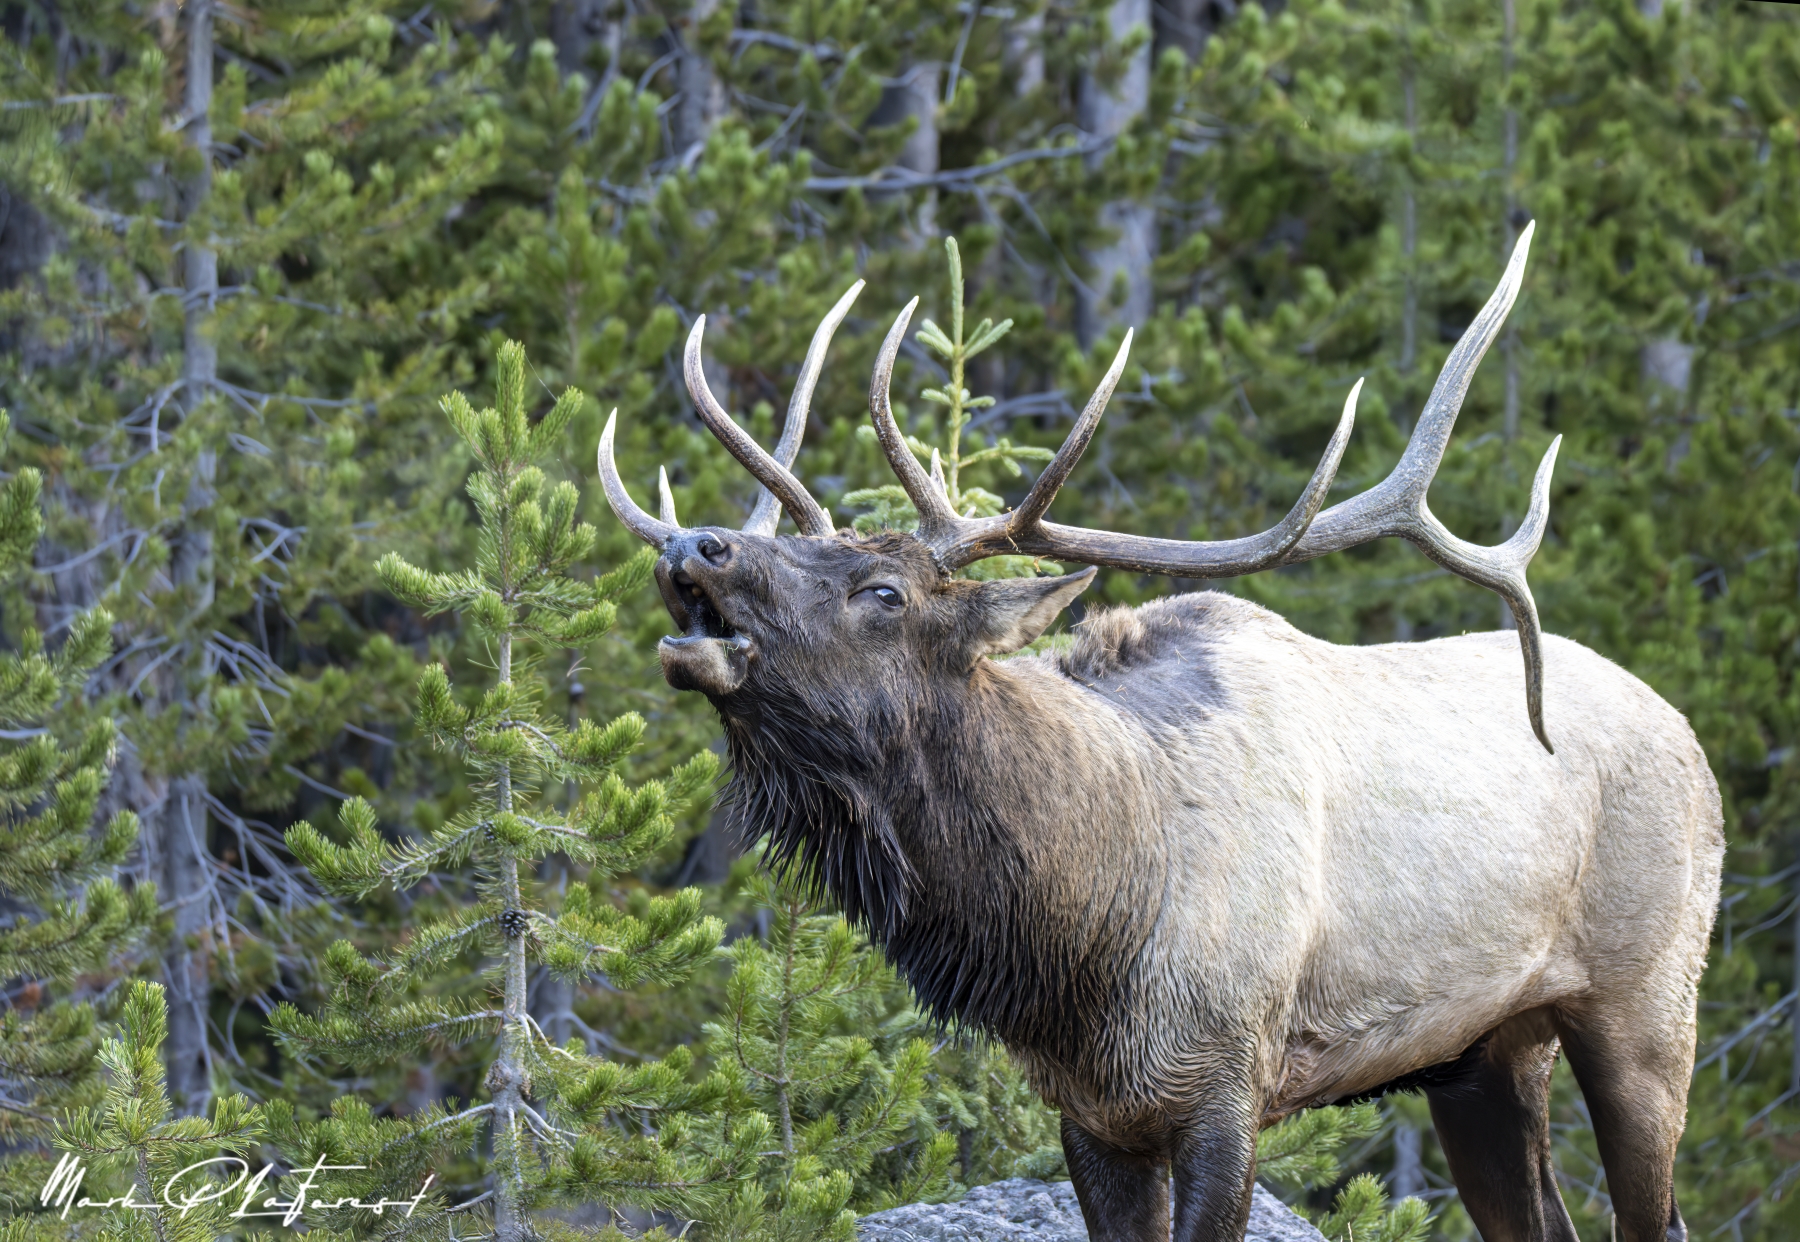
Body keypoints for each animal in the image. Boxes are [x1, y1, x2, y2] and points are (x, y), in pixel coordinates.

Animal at [601, 225, 1713, 1238]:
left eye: (883, 591)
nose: (698, 543)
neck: (1085, 933)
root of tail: (1688, 734)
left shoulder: (1228, 1080)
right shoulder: (1091, 1113)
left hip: (1649, 1000)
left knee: (1656, 1211)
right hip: (1483, 1052)